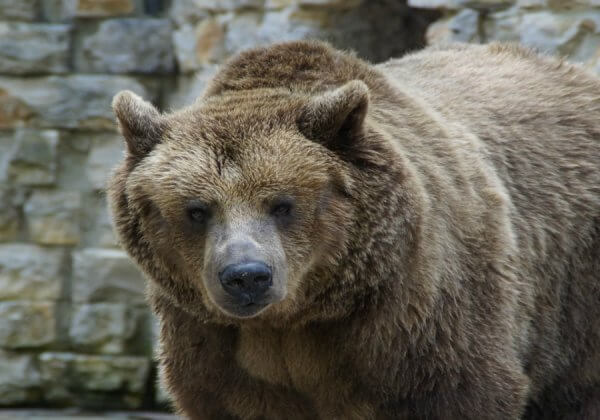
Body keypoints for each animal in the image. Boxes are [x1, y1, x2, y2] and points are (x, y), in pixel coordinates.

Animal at [108, 40, 600, 420]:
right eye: (197, 210)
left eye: (282, 204)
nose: (247, 276)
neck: (300, 318)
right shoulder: (217, 348)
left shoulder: (419, 324)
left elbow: (462, 390)